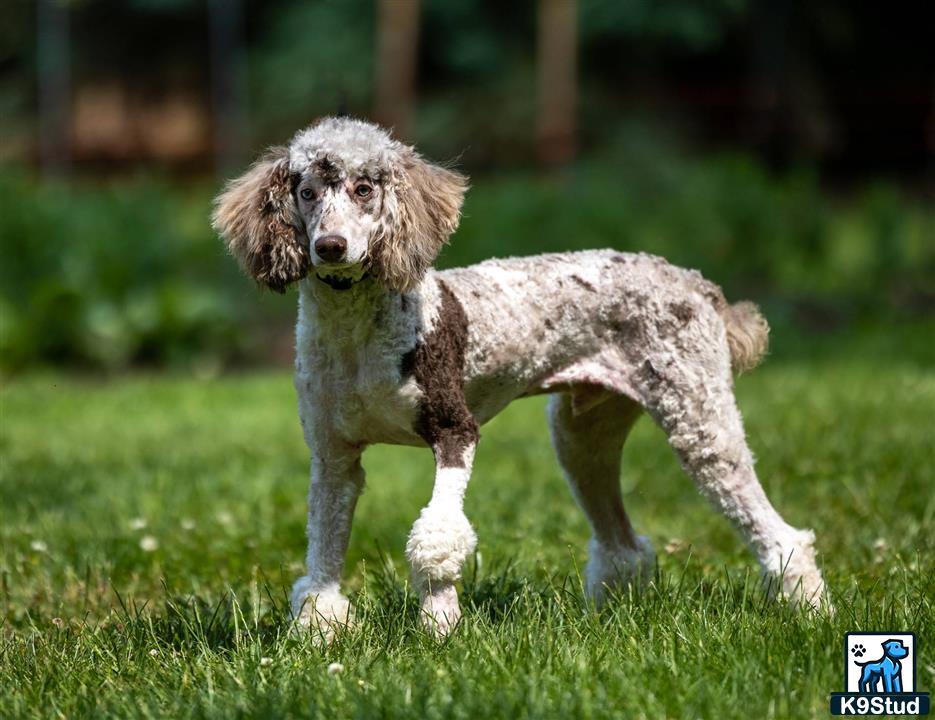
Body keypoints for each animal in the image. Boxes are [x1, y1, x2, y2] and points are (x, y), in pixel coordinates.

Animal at [214, 118, 832, 640]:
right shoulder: (334, 457)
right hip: (582, 438)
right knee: (621, 543)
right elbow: (324, 553)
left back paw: (809, 607)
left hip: (700, 422)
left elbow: (438, 540)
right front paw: (319, 630)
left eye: (365, 188)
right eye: (306, 191)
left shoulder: (454, 431)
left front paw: (440, 630)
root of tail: (699, 284)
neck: (357, 334)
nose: (331, 247)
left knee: (778, 533)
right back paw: (612, 613)